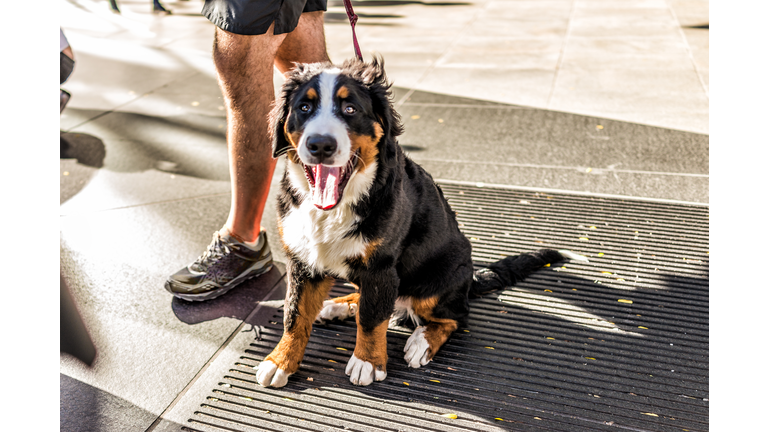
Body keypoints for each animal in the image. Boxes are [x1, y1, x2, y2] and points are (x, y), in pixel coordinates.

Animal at [255, 58, 584, 388]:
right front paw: (280, 360)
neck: (335, 206)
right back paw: (339, 305)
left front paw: (367, 362)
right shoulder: (303, 259)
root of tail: (470, 277)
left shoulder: (381, 267)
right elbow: (295, 315)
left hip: (437, 280)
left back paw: (421, 342)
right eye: (304, 108)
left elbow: (372, 319)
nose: (320, 144)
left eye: (350, 109)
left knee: (454, 316)